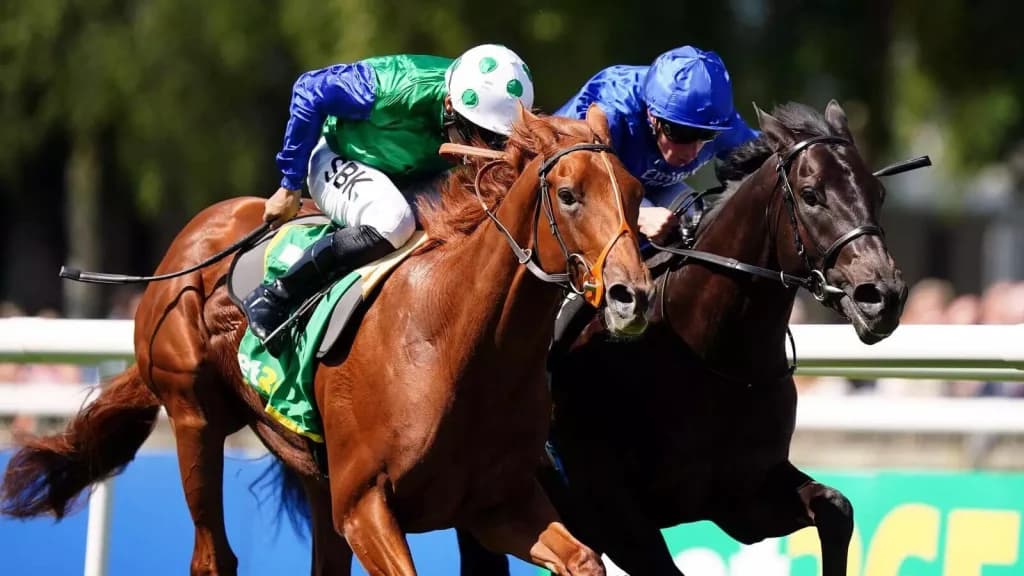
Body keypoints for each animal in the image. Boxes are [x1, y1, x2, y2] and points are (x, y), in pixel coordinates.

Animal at [1, 104, 654, 575]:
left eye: (634, 191)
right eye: (568, 194)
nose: (634, 296)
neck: (455, 346)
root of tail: (190, 242)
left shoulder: (494, 504)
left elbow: (584, 558)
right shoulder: (365, 506)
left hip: (313, 474)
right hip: (193, 418)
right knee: (213, 557)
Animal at [457, 100, 910, 576]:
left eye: (878, 193)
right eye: (810, 194)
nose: (882, 295)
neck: (708, 355)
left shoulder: (743, 496)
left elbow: (836, 508)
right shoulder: (609, 513)